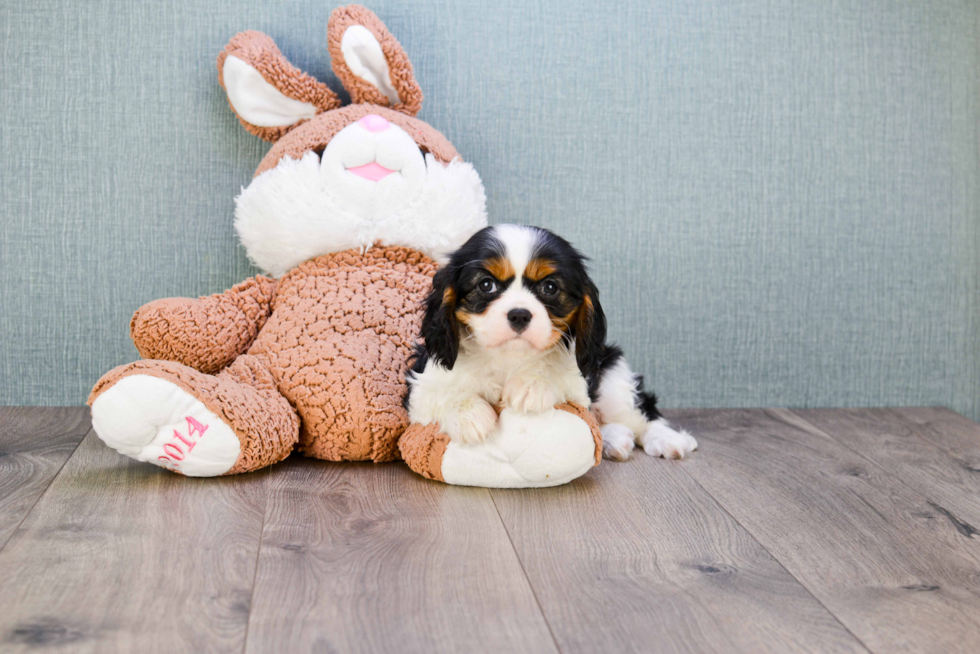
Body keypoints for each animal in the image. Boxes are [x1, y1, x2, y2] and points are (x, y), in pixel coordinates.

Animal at [404, 226, 696, 462]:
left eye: (550, 287)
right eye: (486, 285)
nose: (519, 314)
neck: (508, 357)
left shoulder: (580, 383)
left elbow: (557, 375)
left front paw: (532, 385)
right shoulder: (420, 387)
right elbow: (442, 392)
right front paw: (470, 416)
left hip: (613, 372)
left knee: (642, 412)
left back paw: (667, 439)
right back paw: (615, 440)